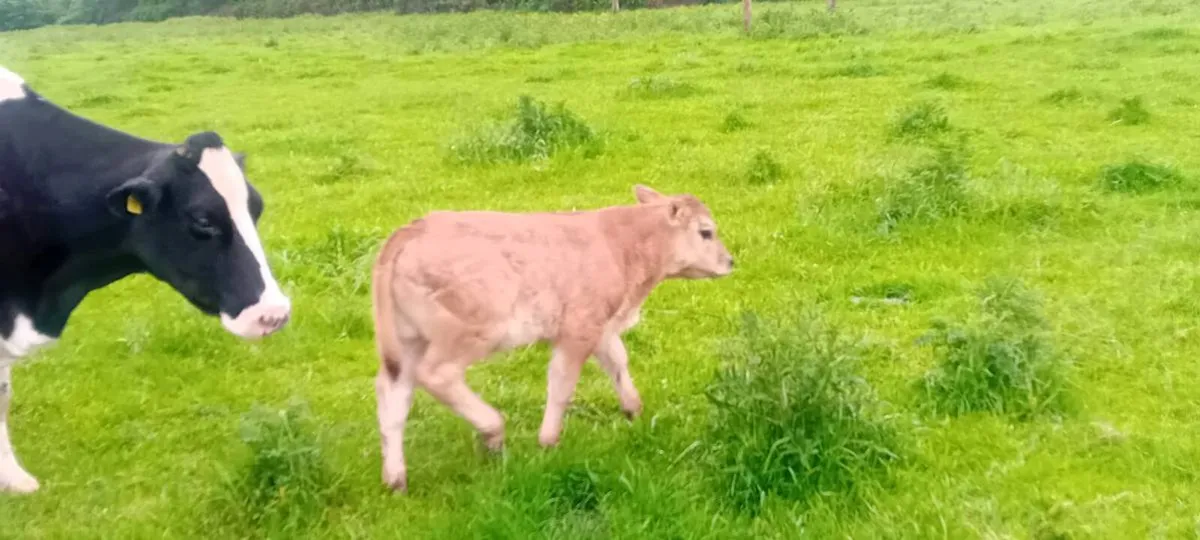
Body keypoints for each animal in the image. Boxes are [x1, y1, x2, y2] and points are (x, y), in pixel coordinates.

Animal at [370, 184, 734, 492]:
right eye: (706, 232)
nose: (730, 261)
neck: (623, 246)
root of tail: (414, 228)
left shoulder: (601, 325)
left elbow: (617, 361)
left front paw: (633, 411)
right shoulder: (579, 327)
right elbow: (562, 383)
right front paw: (548, 441)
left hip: (408, 340)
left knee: (394, 392)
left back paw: (395, 479)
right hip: (471, 330)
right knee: (437, 375)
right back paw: (492, 431)